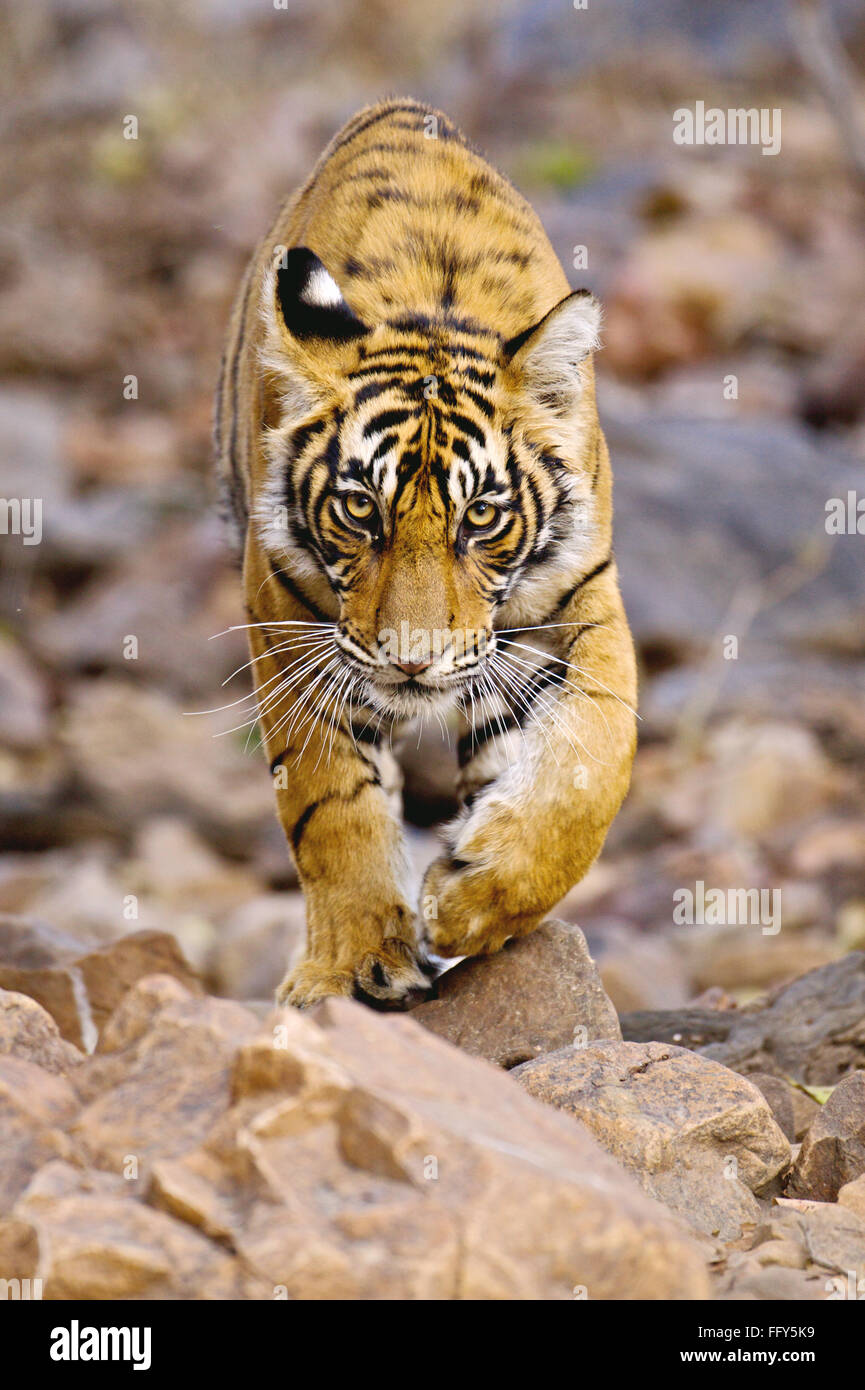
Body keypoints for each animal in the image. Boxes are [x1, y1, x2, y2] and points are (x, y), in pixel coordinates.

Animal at [216, 100, 636, 1011]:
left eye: (480, 516)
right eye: (359, 509)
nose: (410, 663)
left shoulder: (578, 602)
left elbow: (591, 764)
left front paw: (471, 898)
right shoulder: (287, 621)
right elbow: (331, 803)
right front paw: (352, 966)